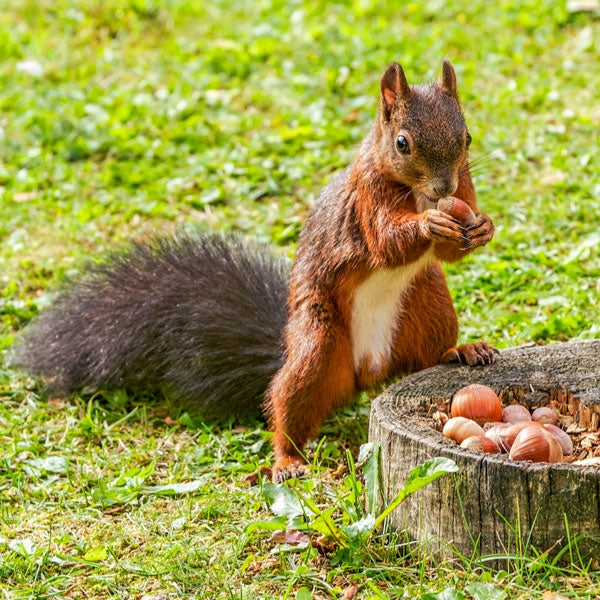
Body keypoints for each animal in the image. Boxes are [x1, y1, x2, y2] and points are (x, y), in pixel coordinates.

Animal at [11, 61, 494, 482]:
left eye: (467, 137)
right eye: (402, 143)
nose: (445, 188)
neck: (415, 191)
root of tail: (367, 370)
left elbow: (450, 250)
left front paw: (483, 226)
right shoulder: (367, 197)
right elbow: (386, 242)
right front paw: (429, 224)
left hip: (429, 304)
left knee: (423, 357)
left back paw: (460, 351)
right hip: (318, 345)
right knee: (289, 403)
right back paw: (287, 461)